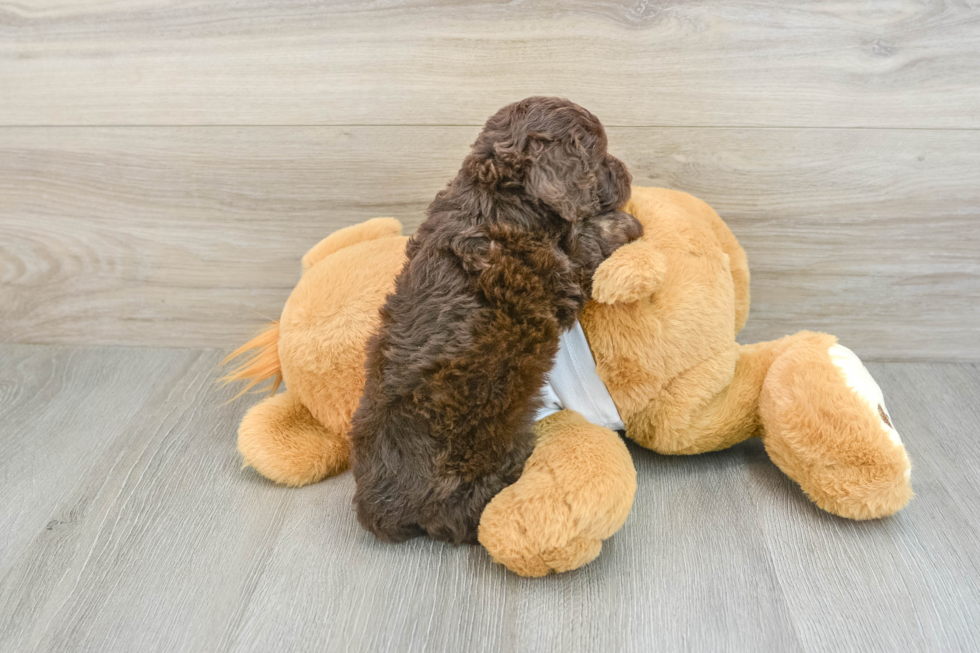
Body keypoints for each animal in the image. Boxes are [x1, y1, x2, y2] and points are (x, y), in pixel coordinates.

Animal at [348, 98, 640, 544]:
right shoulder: (558, 272)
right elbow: (588, 241)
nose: (626, 172)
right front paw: (624, 224)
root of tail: (380, 507)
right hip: (481, 465)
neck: (502, 197)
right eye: (601, 157)